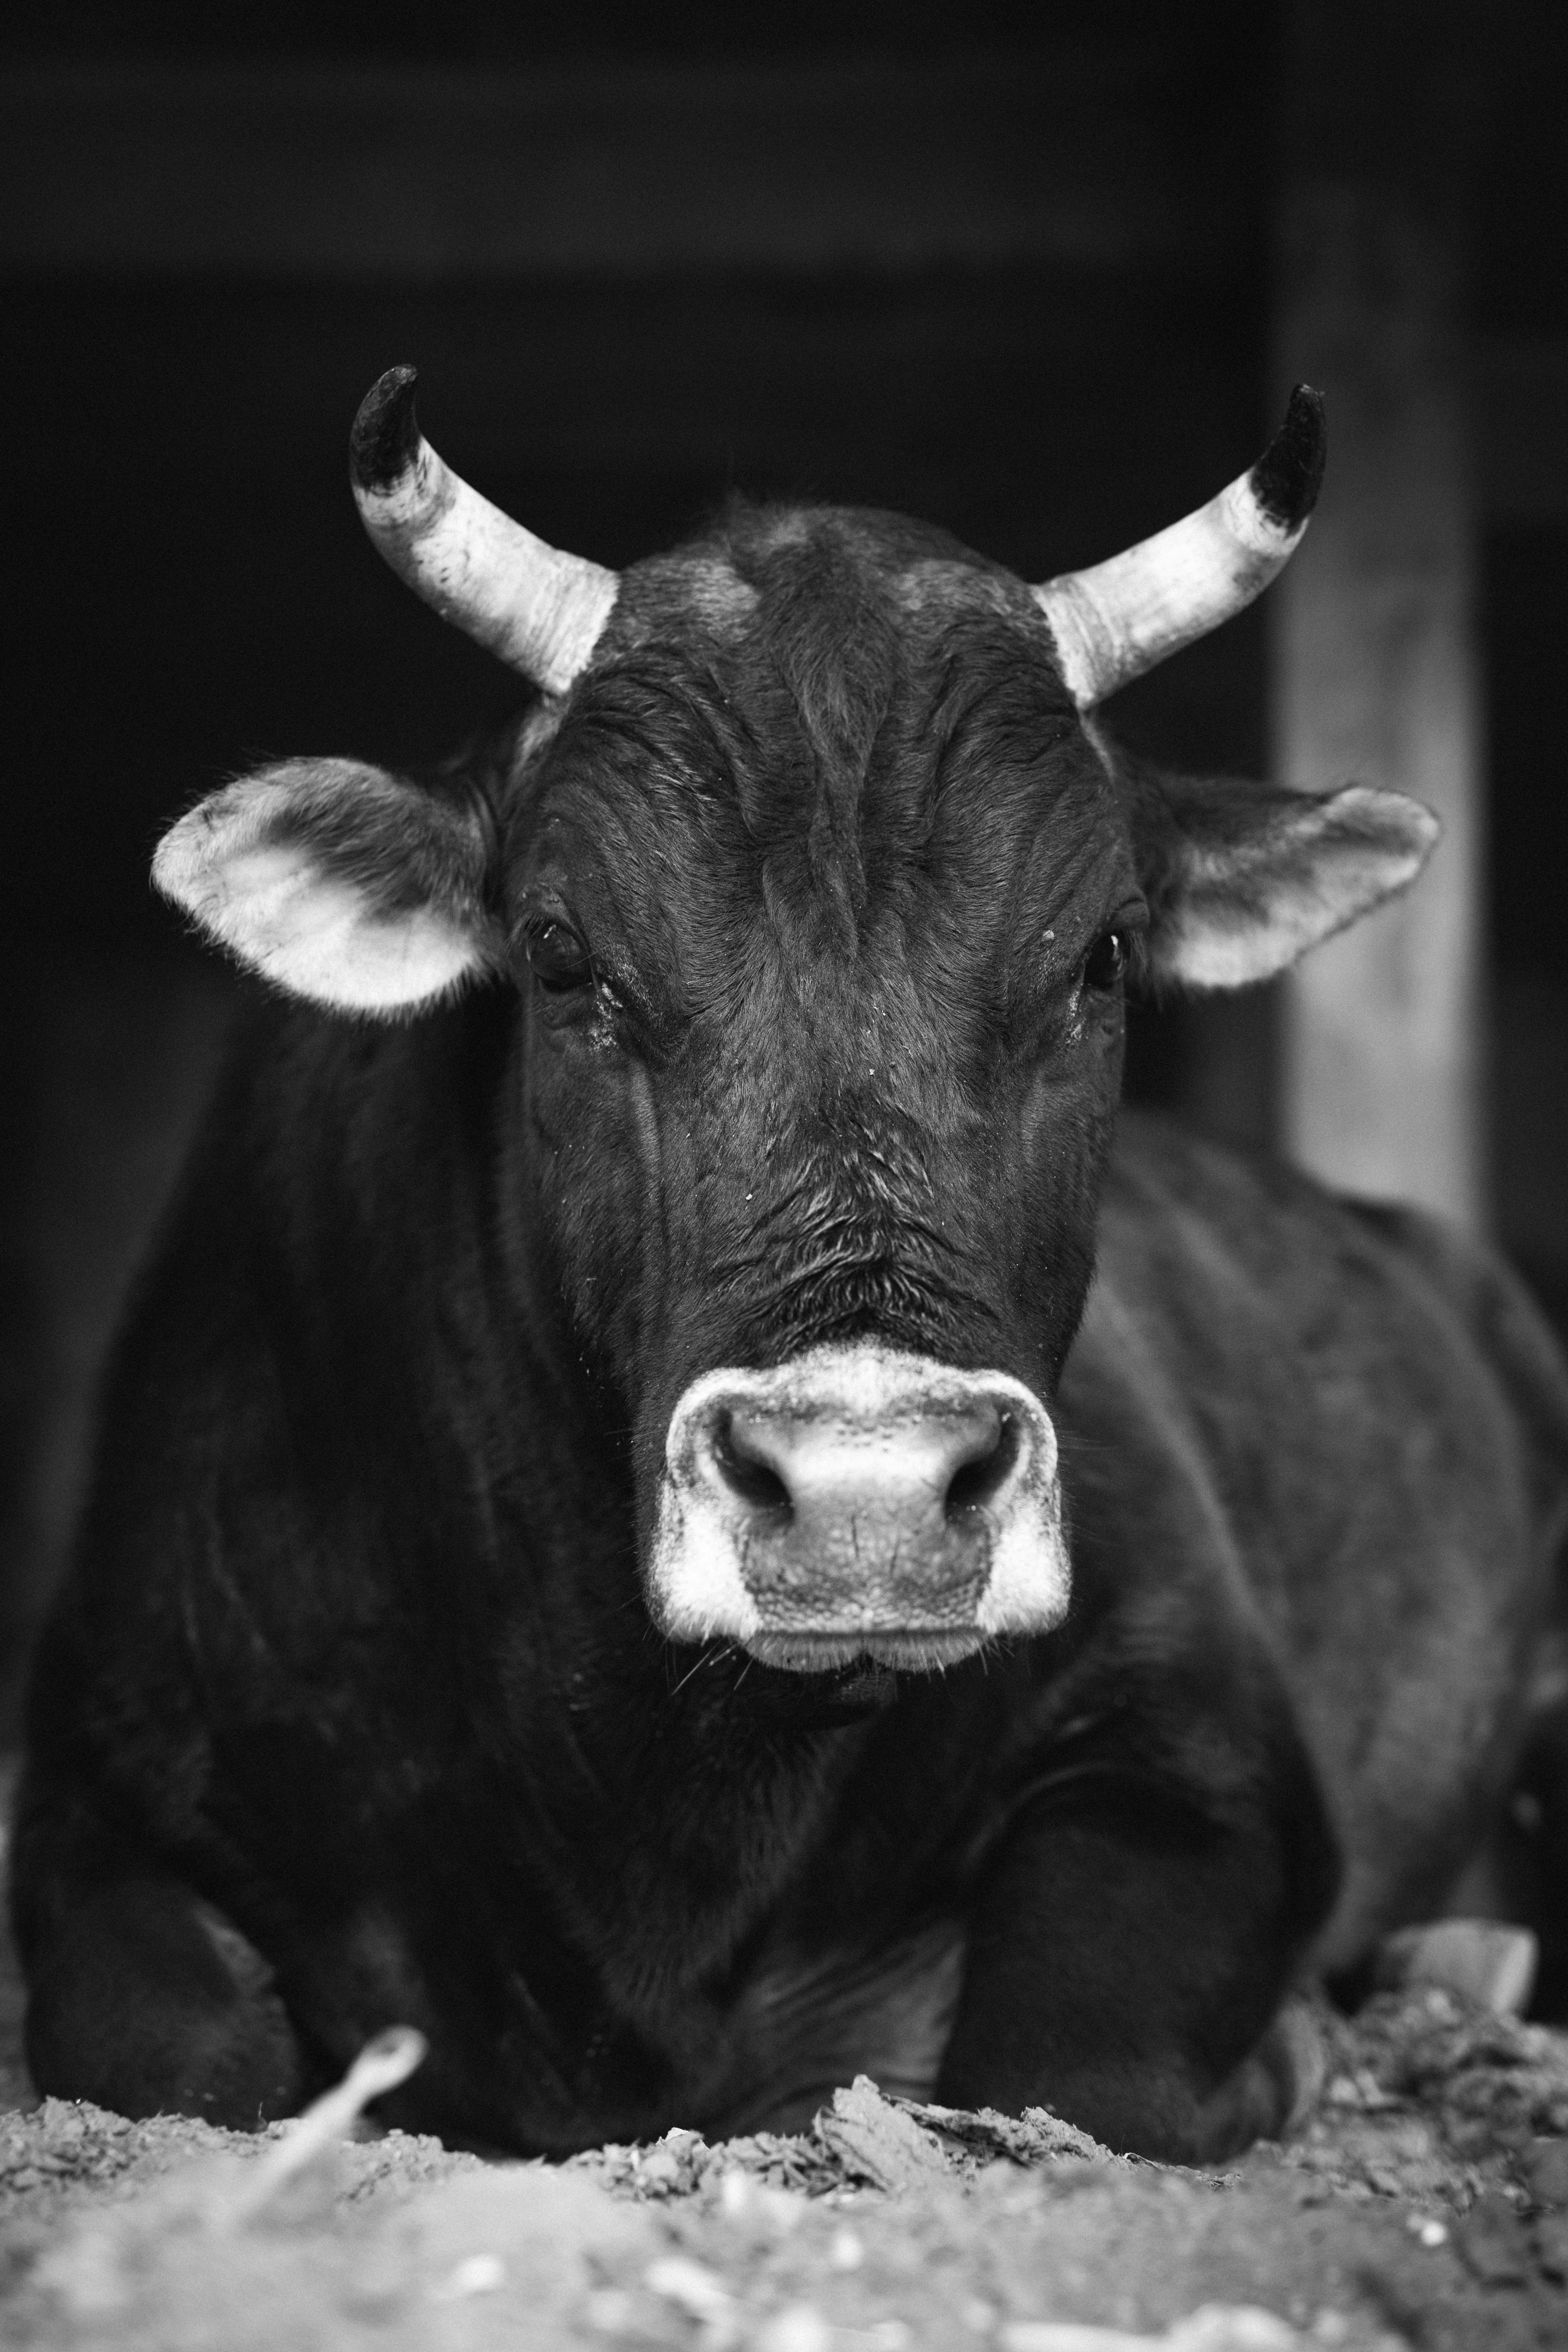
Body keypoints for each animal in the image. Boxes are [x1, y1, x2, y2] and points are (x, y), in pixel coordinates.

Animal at [12, 371, 1568, 2163]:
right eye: (559, 954)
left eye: (1102, 954)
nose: (865, 1500)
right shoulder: (103, 1765)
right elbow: (171, 2050)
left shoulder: (1200, 1739)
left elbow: (1073, 2053)